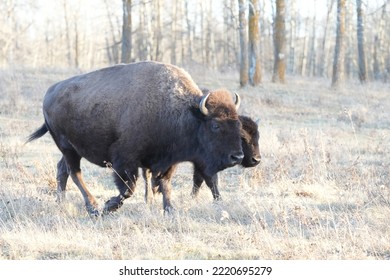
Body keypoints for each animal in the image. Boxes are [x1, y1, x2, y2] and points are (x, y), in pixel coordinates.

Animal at [26, 61, 244, 217]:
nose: (238, 157)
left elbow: (164, 185)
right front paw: (109, 206)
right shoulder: (124, 160)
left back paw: (61, 202)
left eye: (238, 124)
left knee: (62, 170)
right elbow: (129, 188)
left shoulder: (167, 162)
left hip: (71, 150)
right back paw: (94, 207)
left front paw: (170, 211)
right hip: (68, 148)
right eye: (215, 125)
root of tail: (49, 93)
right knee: (74, 173)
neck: (185, 112)